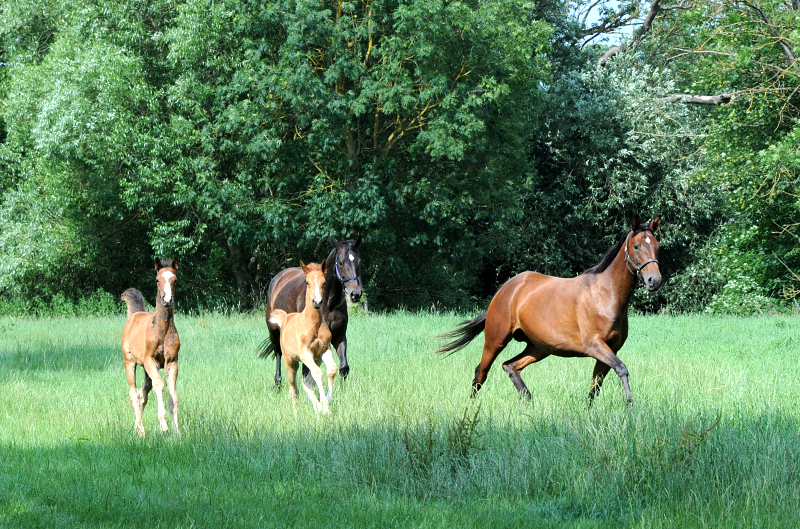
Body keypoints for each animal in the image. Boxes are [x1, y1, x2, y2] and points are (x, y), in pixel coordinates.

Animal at [120, 258, 180, 436]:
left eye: (175, 280)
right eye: (157, 280)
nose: (167, 300)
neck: (163, 330)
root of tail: (134, 315)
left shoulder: (172, 362)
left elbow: (173, 398)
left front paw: (178, 433)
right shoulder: (150, 360)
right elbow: (159, 384)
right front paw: (164, 426)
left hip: (146, 370)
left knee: (142, 395)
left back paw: (137, 427)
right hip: (129, 362)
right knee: (134, 393)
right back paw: (141, 430)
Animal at [256, 236, 362, 384]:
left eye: (359, 261)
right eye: (340, 263)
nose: (355, 294)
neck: (327, 302)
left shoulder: (339, 336)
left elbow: (344, 368)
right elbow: (308, 370)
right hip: (274, 330)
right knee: (278, 352)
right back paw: (278, 381)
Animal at [266, 260, 334, 412]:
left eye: (324, 282)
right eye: (307, 282)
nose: (317, 302)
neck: (314, 324)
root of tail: (285, 318)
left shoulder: (324, 351)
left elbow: (331, 370)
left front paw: (327, 402)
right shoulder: (305, 353)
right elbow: (318, 373)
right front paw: (325, 407)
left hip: (312, 360)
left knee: (306, 383)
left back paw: (317, 408)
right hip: (290, 362)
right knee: (293, 389)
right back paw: (296, 413)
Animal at [438, 214, 664, 404]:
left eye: (657, 246)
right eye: (636, 246)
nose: (654, 281)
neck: (605, 295)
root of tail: (505, 289)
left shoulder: (610, 349)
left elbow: (595, 387)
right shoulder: (595, 345)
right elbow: (621, 369)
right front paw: (630, 404)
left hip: (539, 347)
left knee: (510, 366)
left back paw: (527, 400)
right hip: (496, 340)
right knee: (481, 373)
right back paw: (471, 407)